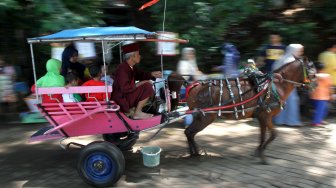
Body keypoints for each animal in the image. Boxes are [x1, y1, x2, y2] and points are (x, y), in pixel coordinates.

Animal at [168, 58, 318, 164]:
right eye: (313, 73)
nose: (316, 86)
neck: (275, 85)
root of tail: (193, 86)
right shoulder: (266, 116)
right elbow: (273, 134)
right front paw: (262, 155)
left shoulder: (262, 117)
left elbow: (262, 135)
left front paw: (258, 151)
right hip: (206, 117)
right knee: (190, 132)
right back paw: (196, 154)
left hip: (199, 116)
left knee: (188, 132)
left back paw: (193, 153)